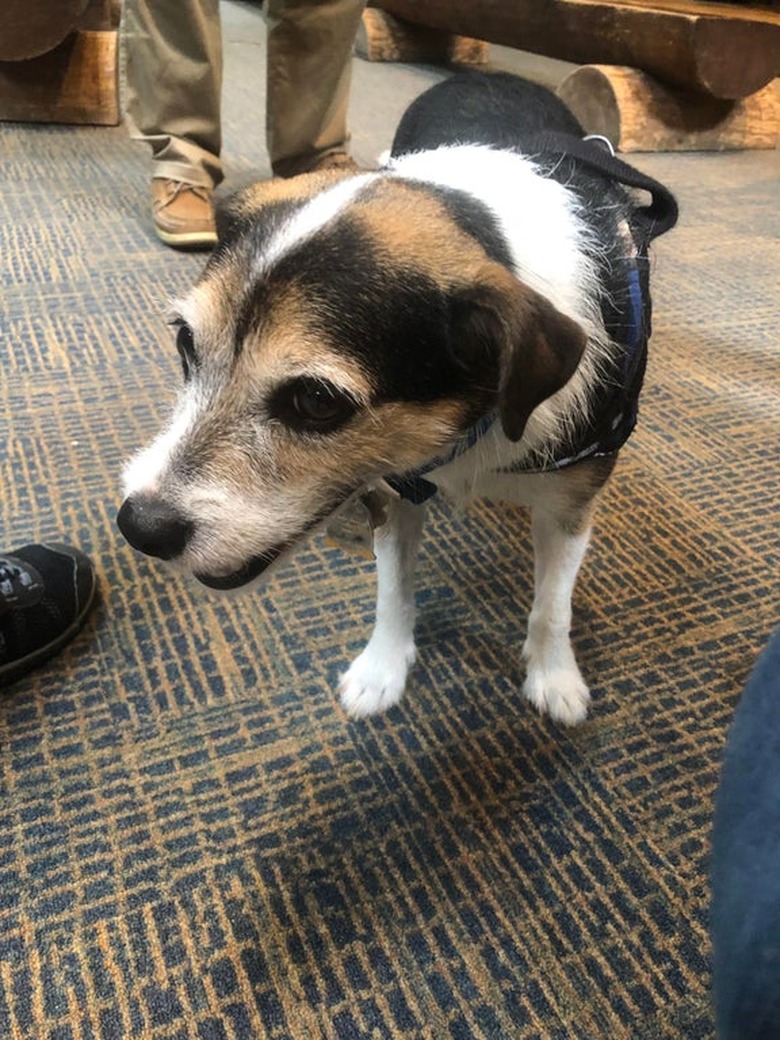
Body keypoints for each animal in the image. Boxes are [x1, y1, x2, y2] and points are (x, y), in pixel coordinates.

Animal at [117, 71, 678, 723]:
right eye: (185, 343)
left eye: (316, 402)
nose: (140, 527)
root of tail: (488, 72)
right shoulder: (391, 493)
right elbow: (393, 590)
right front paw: (381, 670)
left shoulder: (570, 506)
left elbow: (551, 607)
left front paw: (554, 678)